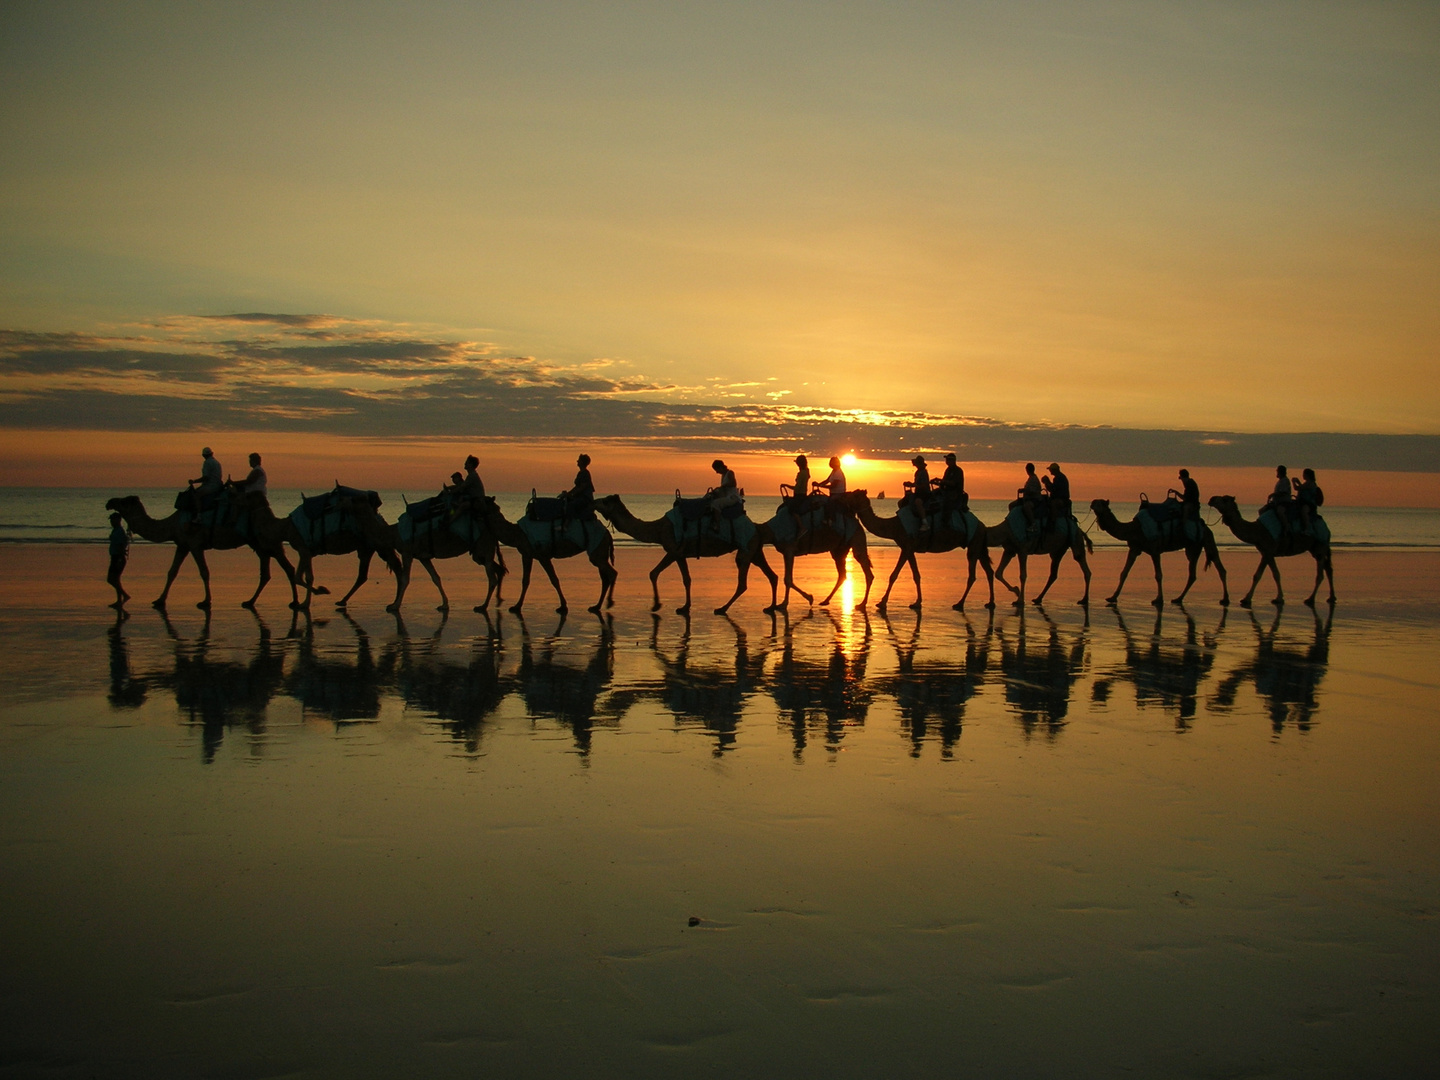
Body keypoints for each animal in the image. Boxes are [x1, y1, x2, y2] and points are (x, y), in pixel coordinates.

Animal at [108, 495, 306, 613]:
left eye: (124, 501)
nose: (109, 502)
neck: (172, 524)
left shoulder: (195, 544)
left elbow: (204, 572)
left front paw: (205, 601)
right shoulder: (183, 545)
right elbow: (172, 571)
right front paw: (159, 600)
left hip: (268, 543)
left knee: (287, 568)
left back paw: (294, 602)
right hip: (259, 545)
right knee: (266, 573)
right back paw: (250, 601)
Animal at [593, 498, 783, 616]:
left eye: (605, 501)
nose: (593, 501)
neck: (658, 528)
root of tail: (756, 527)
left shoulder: (674, 550)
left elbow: (668, 575)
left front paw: (667, 606)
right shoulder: (677, 553)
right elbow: (672, 576)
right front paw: (674, 606)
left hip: (746, 549)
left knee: (743, 583)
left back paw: (722, 608)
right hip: (755, 551)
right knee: (772, 576)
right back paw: (770, 607)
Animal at [840, 492, 996, 613]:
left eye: (853, 494)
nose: (841, 497)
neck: (894, 526)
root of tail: (982, 526)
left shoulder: (907, 546)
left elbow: (894, 575)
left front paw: (882, 603)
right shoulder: (908, 549)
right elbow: (916, 575)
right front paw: (917, 602)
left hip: (974, 543)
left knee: (972, 575)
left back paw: (959, 603)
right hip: (978, 545)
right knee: (989, 571)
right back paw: (990, 603)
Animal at [1082, 498, 1232, 610]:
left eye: (1101, 503)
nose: (1092, 503)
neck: (1134, 528)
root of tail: (1205, 526)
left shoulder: (1155, 549)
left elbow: (1158, 575)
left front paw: (1159, 599)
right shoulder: (1135, 548)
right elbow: (1124, 573)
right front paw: (1112, 597)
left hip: (1202, 542)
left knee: (1214, 569)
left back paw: (1224, 599)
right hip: (1197, 545)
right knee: (1200, 572)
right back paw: (1179, 598)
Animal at [1203, 498, 1336, 610]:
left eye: (1225, 499)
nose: (1211, 499)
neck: (1257, 531)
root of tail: (1327, 528)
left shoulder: (1267, 551)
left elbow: (1257, 575)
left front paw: (1246, 599)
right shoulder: (1268, 552)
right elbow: (1276, 574)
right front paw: (1279, 598)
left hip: (1319, 547)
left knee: (1320, 574)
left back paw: (1310, 599)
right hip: (1316, 548)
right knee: (1328, 569)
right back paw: (1331, 597)